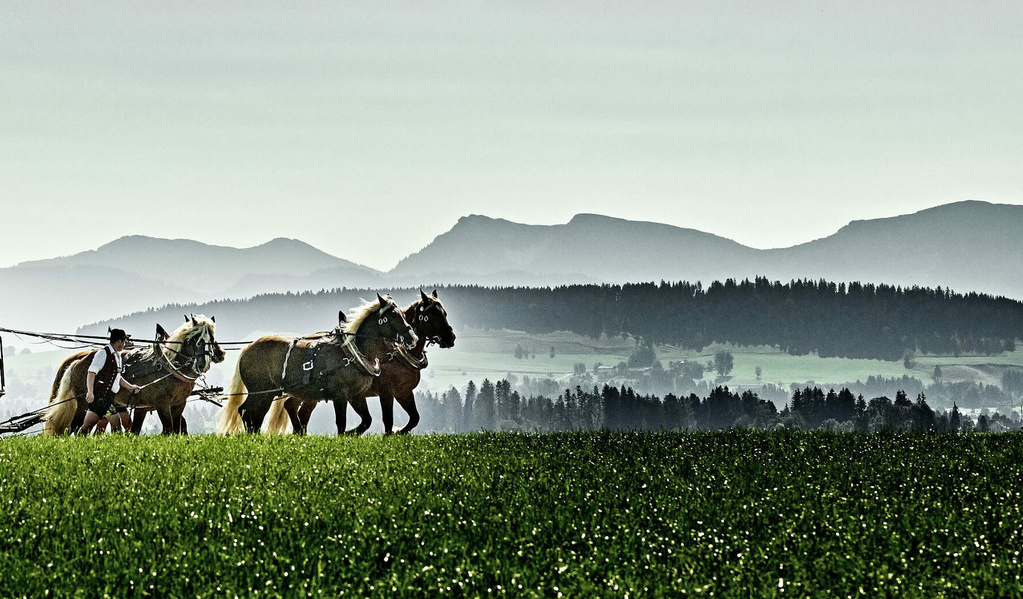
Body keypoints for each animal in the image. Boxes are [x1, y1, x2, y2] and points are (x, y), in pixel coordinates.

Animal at [42, 312, 225, 433]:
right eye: (196, 339)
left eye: (212, 338)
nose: (203, 364)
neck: (170, 367)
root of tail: (77, 363)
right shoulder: (162, 404)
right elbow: (168, 429)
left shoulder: (178, 404)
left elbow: (175, 429)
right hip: (83, 402)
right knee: (76, 427)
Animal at [215, 292, 419, 433]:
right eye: (393, 316)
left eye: (403, 314)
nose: (413, 338)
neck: (351, 352)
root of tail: (247, 349)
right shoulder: (340, 395)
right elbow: (341, 423)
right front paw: (344, 436)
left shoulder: (356, 395)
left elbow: (366, 421)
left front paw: (352, 434)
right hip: (260, 390)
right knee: (246, 411)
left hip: (267, 393)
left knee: (253, 414)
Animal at [268, 286, 456, 431]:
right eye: (432, 315)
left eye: (445, 313)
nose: (451, 338)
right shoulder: (386, 392)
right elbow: (387, 421)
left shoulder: (403, 392)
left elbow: (414, 419)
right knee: (292, 406)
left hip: (311, 393)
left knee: (299, 410)